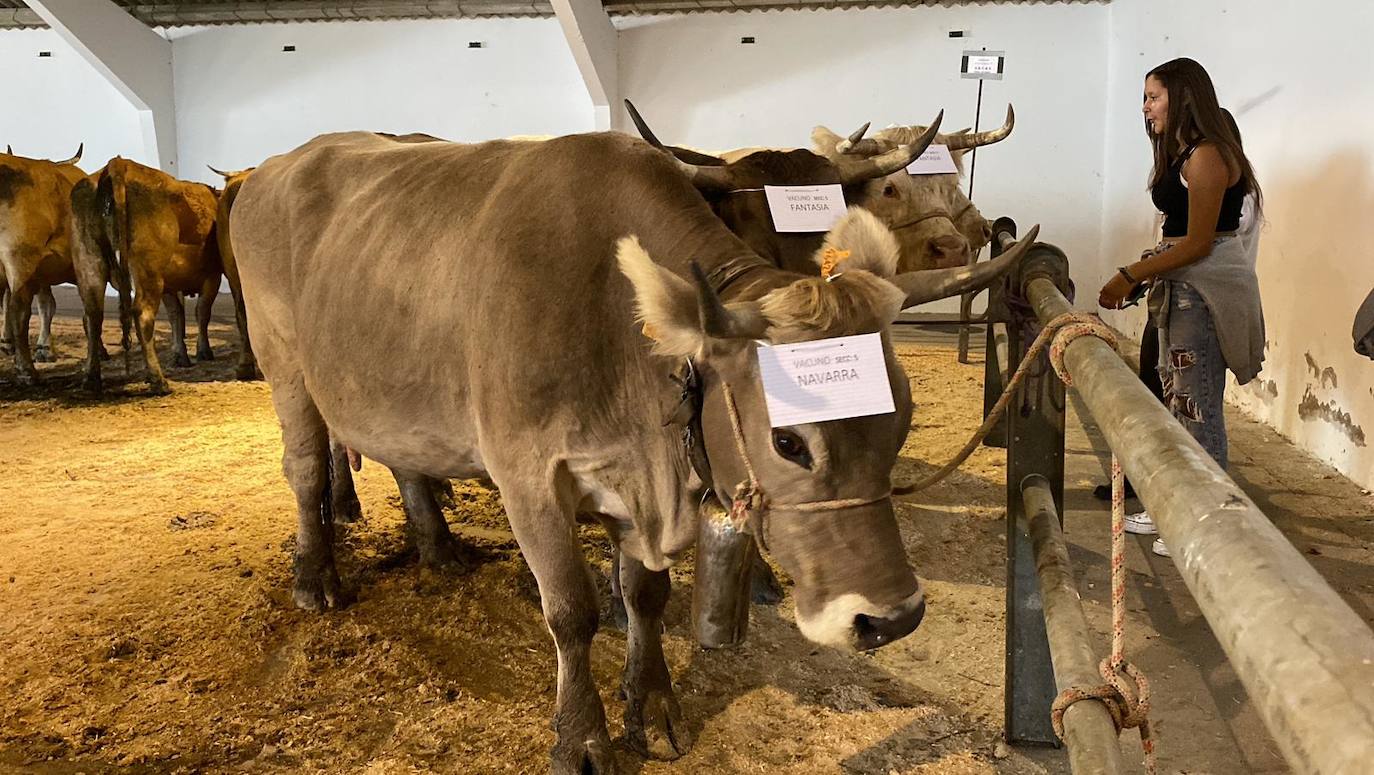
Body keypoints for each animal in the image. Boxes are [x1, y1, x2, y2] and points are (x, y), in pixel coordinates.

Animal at [230, 129, 1033, 769]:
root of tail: (275, 166)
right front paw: (581, 737)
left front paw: (651, 701)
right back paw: (316, 576)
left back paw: (438, 545)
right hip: (285, 367)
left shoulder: (634, 481)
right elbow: (571, 612)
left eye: (901, 424)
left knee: (405, 457)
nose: (890, 619)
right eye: (787, 441)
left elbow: (646, 595)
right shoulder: (527, 476)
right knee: (305, 469)